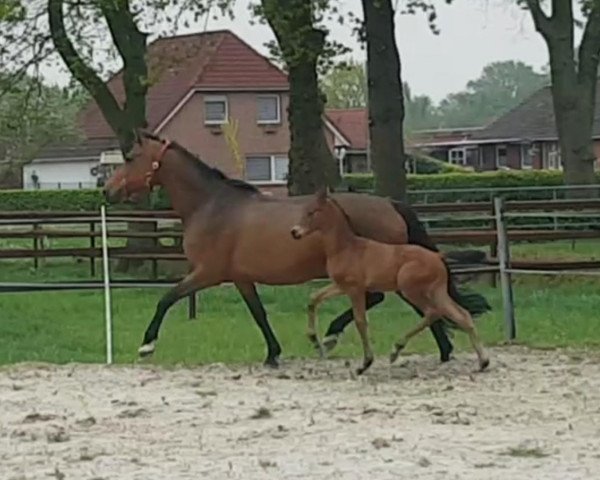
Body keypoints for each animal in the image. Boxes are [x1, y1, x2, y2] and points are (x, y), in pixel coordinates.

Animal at [292, 188, 492, 376]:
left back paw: (396, 349)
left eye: (312, 212)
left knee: (432, 312)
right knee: (461, 314)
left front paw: (365, 364)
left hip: (410, 289)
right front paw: (314, 338)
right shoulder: (341, 286)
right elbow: (314, 298)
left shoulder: (356, 289)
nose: (294, 232)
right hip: (437, 291)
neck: (347, 248)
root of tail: (437, 255)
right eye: (303, 211)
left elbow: (360, 321)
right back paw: (483, 362)